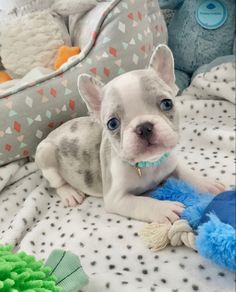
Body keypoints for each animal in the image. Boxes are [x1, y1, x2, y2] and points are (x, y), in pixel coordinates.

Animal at [35, 44, 223, 222]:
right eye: (112, 124)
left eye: (167, 103)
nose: (144, 127)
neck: (148, 164)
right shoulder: (116, 199)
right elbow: (142, 202)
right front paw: (164, 208)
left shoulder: (171, 163)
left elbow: (185, 172)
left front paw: (207, 184)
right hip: (46, 154)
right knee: (56, 184)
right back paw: (70, 193)